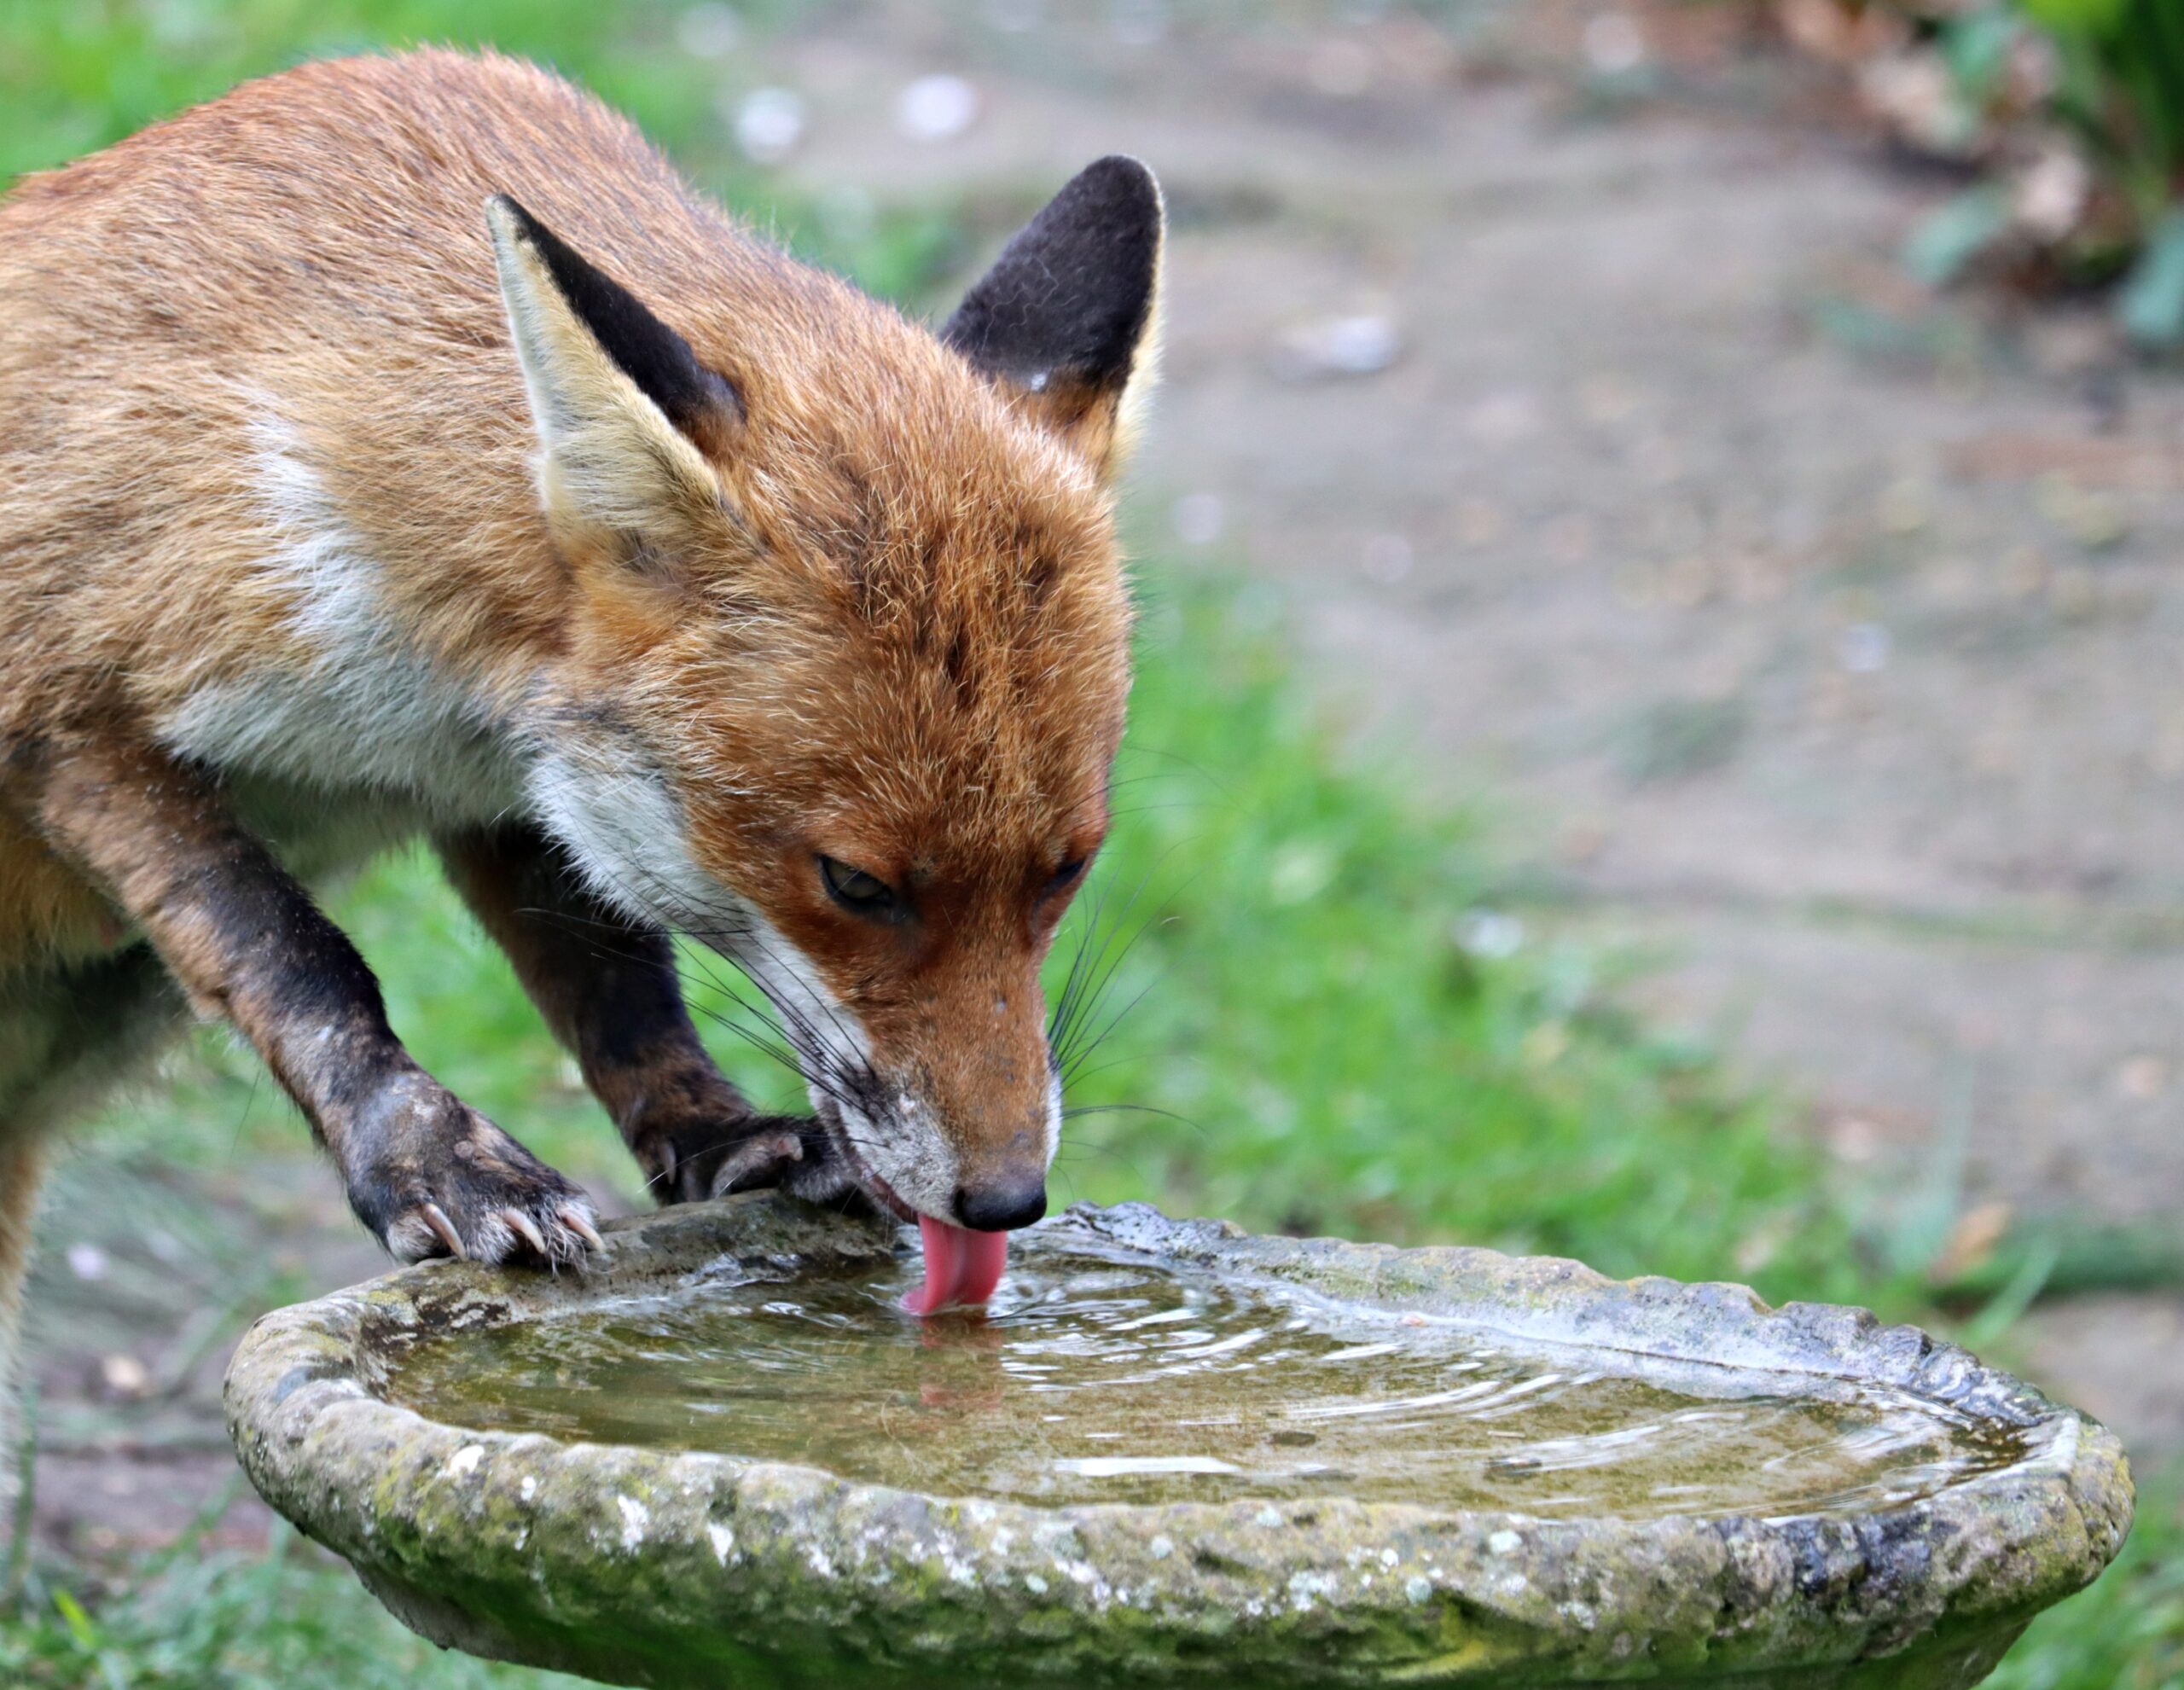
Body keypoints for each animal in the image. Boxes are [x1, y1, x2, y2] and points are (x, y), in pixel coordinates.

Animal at [0, 48, 1159, 1436]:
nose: (1003, 1203)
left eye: (1068, 869)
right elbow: (293, 950)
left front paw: (718, 1136)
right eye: (855, 884)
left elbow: (610, 977)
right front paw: (427, 1153)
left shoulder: (513, 780)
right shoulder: (64, 704)